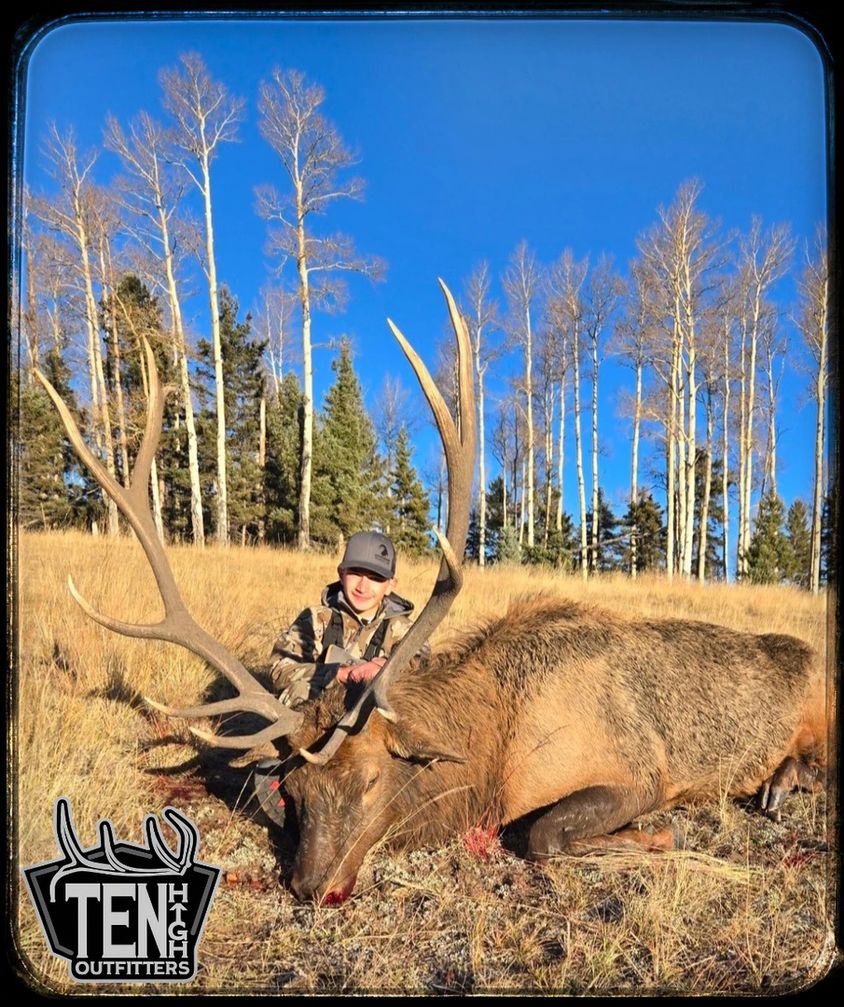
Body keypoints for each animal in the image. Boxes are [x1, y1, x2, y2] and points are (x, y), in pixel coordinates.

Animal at [35, 280, 828, 907]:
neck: (495, 750)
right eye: (294, 794)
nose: (311, 886)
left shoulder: (638, 768)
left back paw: (783, 783)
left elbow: (543, 834)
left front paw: (668, 834)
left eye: (372, 782)